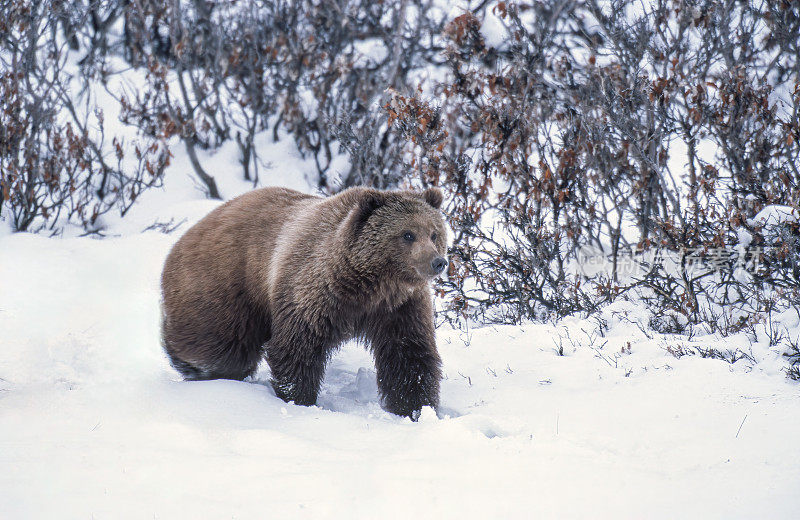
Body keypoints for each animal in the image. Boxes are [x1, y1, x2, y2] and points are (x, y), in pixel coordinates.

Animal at [161, 186, 450, 418]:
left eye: (434, 233)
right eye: (408, 234)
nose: (438, 262)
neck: (368, 286)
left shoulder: (398, 307)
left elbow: (409, 355)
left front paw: (415, 409)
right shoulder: (315, 292)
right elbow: (297, 346)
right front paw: (299, 399)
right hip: (226, 285)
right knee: (220, 348)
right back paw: (194, 366)